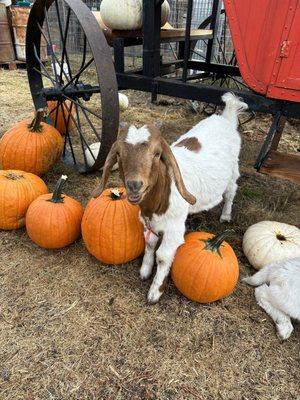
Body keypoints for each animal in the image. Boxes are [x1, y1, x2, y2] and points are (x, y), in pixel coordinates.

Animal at [94, 91, 248, 304]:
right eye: (118, 154)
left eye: (157, 154)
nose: (135, 185)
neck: (156, 203)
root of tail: (226, 117)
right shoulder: (147, 221)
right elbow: (150, 244)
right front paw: (144, 271)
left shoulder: (174, 228)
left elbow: (163, 256)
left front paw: (154, 292)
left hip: (233, 169)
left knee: (231, 190)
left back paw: (225, 215)